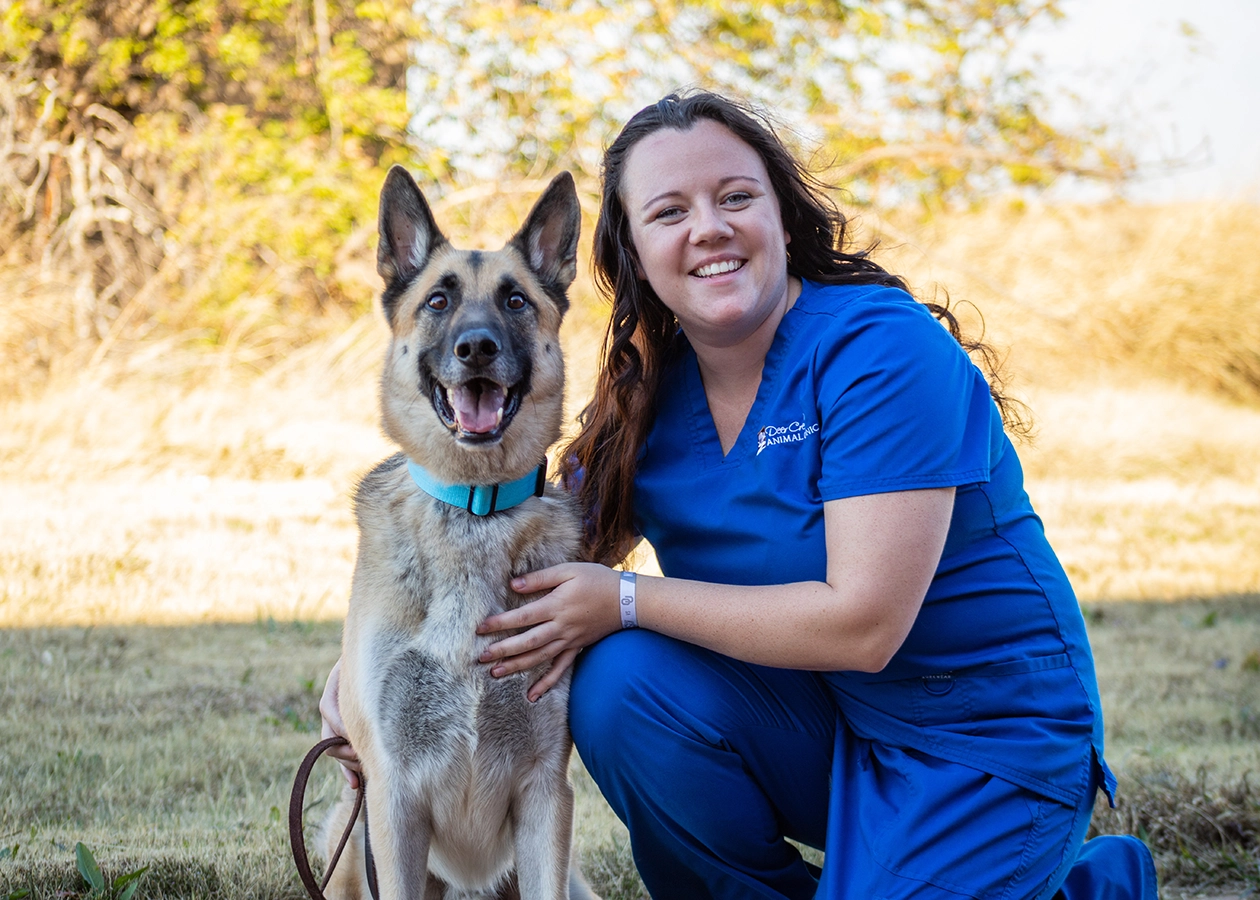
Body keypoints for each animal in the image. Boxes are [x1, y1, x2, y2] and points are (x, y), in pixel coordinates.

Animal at [325, 168, 599, 897]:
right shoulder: (389, 800)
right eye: (439, 301)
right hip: (345, 832)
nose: (476, 348)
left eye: (515, 301)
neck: (476, 509)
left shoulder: (546, 796)